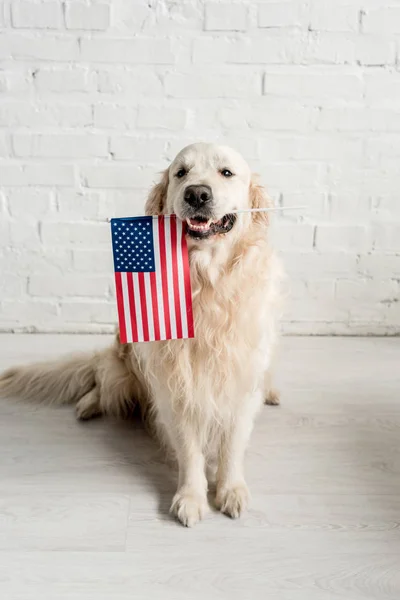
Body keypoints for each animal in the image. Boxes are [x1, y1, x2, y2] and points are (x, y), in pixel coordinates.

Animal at [0, 143, 282, 528]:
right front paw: (191, 497)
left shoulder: (242, 378)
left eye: (226, 172)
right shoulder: (173, 385)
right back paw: (88, 403)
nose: (197, 194)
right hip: (122, 364)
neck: (206, 284)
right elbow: (190, 449)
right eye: (181, 173)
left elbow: (232, 444)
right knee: (102, 380)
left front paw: (230, 489)